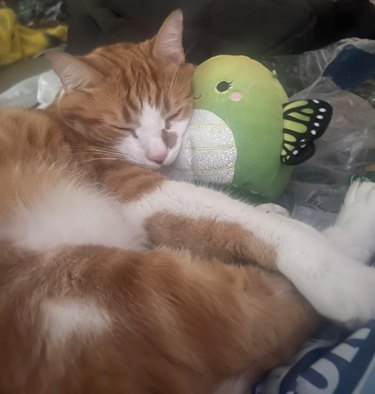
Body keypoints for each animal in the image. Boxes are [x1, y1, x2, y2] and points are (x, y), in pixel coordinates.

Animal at [0, 8, 375, 394]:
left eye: (172, 114)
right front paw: (334, 270)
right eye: (124, 128)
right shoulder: (136, 190)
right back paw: (358, 225)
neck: (71, 126)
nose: (158, 154)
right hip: (117, 292)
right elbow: (250, 219)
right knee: (278, 307)